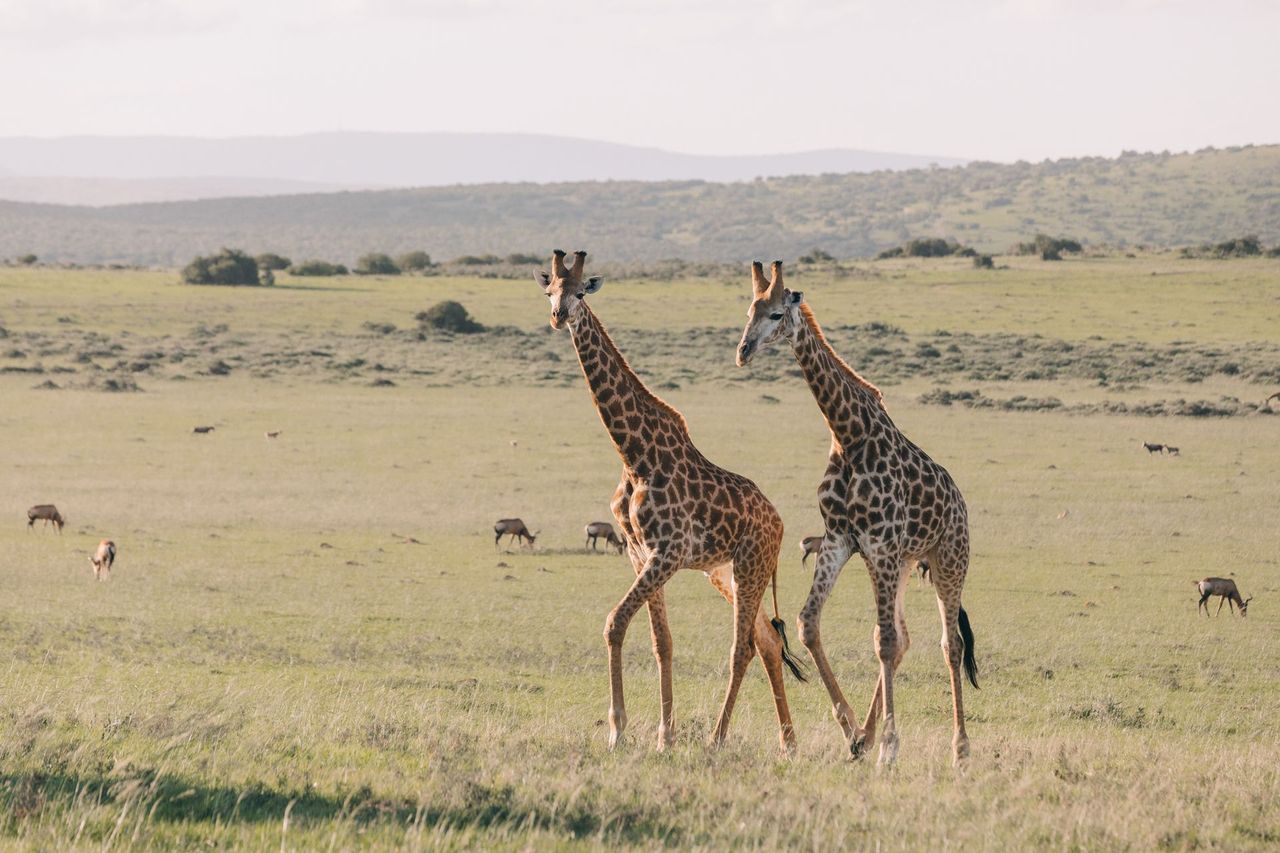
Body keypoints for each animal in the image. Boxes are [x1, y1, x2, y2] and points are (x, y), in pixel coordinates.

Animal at [535, 249, 806, 753]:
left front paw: (619, 730)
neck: (633, 454)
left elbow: (614, 623)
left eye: (580, 292)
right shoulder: (639, 553)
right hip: (728, 573)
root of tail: (779, 524)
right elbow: (663, 642)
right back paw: (789, 742)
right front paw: (664, 735)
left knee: (744, 646)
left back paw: (721, 738)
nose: (558, 316)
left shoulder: (669, 551)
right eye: (549, 291)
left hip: (750, 566)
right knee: (767, 640)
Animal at [735, 260, 979, 766]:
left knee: (949, 644)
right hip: (904, 563)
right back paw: (868, 734)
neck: (848, 434)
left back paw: (960, 748)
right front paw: (851, 729)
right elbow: (809, 624)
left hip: (948, 560)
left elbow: (883, 642)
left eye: (775, 314)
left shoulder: (879, 544)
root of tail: (960, 504)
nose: (743, 352)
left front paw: (889, 746)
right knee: (903, 637)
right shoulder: (840, 539)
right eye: (749, 310)